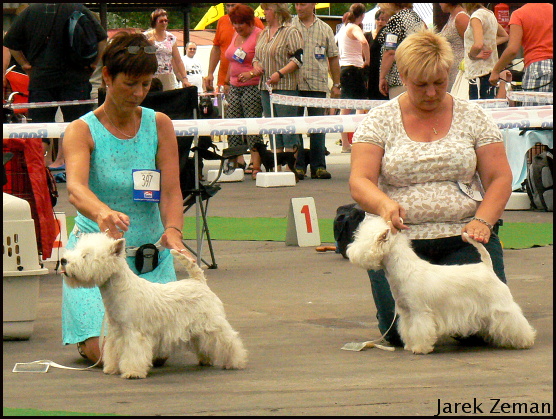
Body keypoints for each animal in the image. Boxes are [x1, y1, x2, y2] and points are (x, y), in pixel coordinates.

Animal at [60, 233, 248, 380]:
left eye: (86, 255)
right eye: (77, 250)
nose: (63, 260)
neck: (120, 290)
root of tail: (198, 281)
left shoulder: (134, 333)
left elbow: (133, 353)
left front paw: (132, 372)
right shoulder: (116, 332)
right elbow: (113, 351)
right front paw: (111, 368)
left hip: (212, 323)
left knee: (230, 341)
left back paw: (235, 362)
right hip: (196, 329)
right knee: (204, 343)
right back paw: (206, 359)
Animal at [348, 218, 536, 356]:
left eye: (361, 240)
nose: (350, 251)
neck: (404, 269)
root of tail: (487, 267)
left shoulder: (420, 312)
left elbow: (421, 329)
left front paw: (420, 348)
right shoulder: (407, 312)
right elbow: (408, 329)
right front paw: (410, 345)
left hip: (500, 305)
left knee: (515, 321)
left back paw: (525, 341)